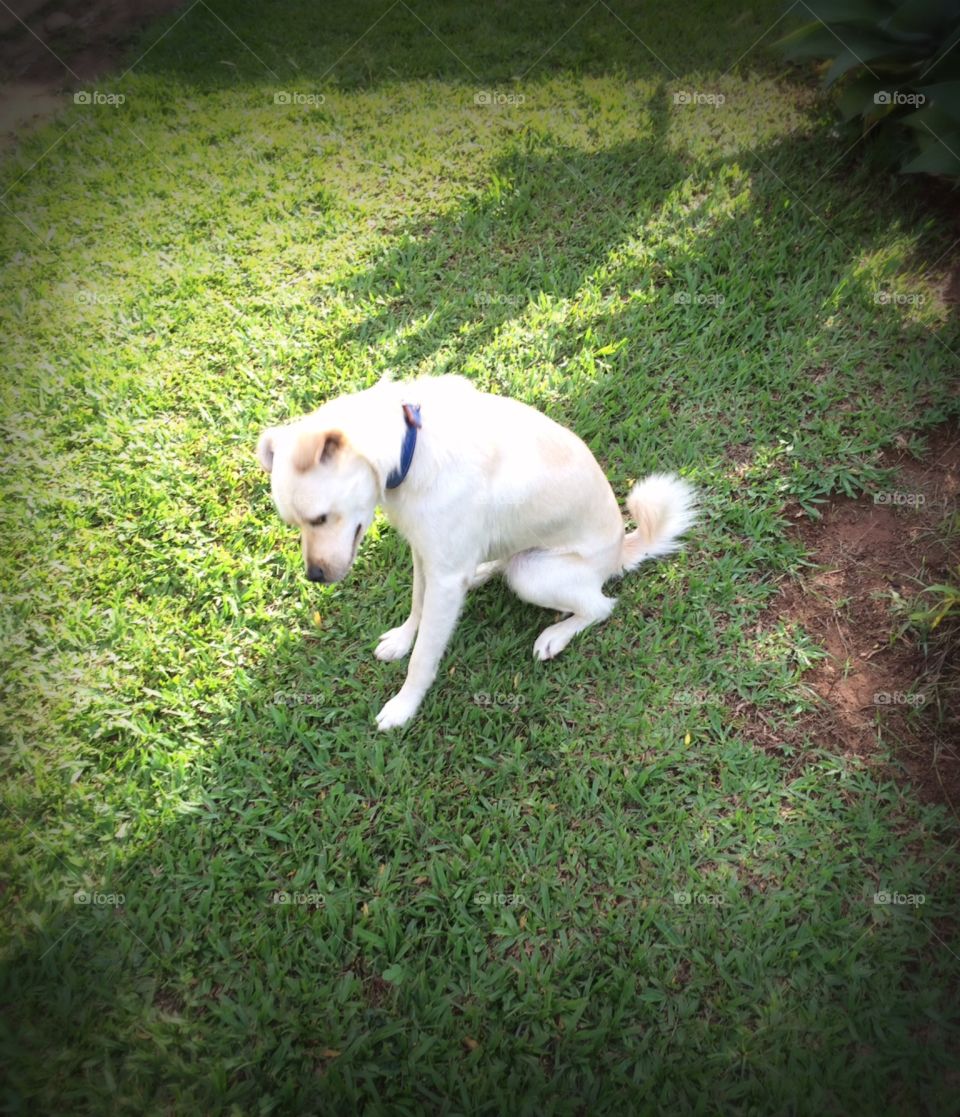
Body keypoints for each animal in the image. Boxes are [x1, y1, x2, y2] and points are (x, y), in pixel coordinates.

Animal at [259, 375, 692, 732]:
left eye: (319, 518)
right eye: (295, 523)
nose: (314, 576)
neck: (411, 449)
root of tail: (620, 550)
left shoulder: (445, 577)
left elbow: (423, 658)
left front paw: (403, 706)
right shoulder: (426, 556)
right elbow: (417, 606)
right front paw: (402, 639)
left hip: (533, 574)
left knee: (601, 606)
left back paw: (555, 635)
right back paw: (484, 571)